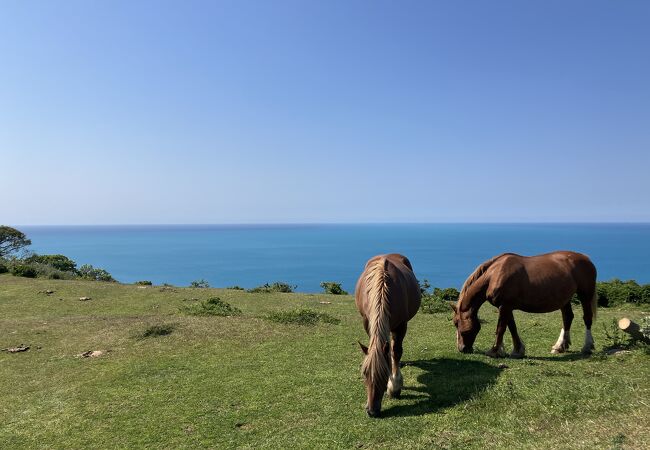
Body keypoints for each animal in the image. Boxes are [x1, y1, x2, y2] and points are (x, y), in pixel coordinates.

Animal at [354, 253, 420, 418]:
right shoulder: (367, 322)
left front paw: (394, 386)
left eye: (385, 375)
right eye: (364, 374)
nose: (372, 411)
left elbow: (396, 352)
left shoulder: (401, 325)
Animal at [454, 250, 596, 358]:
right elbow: (512, 327)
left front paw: (494, 351)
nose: (461, 348)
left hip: (585, 294)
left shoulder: (504, 306)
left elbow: (501, 328)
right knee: (567, 318)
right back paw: (560, 346)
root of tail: (587, 259)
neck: (494, 274)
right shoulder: (507, 307)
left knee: (587, 318)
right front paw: (518, 350)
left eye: (456, 323)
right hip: (565, 299)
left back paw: (587, 346)